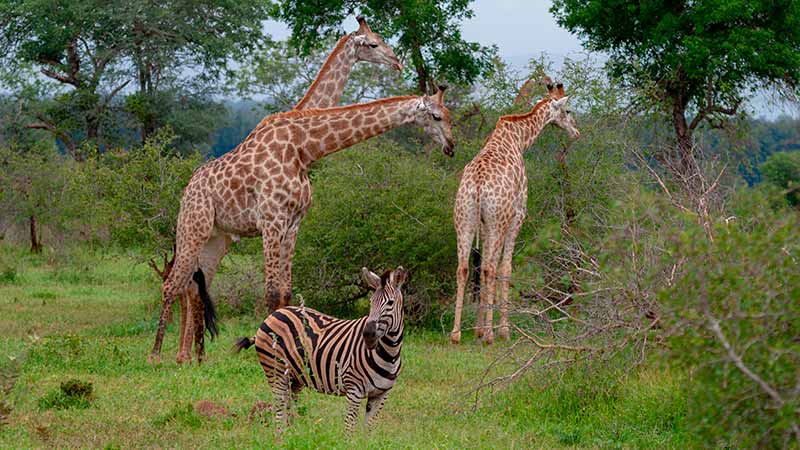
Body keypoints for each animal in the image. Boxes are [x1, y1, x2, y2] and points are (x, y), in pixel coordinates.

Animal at [148, 88, 450, 362]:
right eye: (436, 116)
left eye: (449, 116)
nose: (451, 145)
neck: (302, 147)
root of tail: (188, 188)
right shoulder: (271, 220)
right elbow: (271, 292)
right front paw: (266, 347)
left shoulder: (292, 224)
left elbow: (286, 291)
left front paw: (290, 347)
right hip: (192, 228)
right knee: (172, 285)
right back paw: (156, 354)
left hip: (215, 239)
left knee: (196, 288)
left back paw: (198, 357)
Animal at [233, 266, 406, 430]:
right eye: (371, 301)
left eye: (390, 303)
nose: (368, 335)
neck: (389, 354)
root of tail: (274, 313)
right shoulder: (354, 390)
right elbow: (349, 428)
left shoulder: (381, 395)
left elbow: (367, 431)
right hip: (275, 371)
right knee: (279, 412)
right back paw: (281, 436)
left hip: (295, 377)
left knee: (288, 409)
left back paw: (292, 436)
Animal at [450, 80, 580, 344]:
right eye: (568, 110)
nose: (577, 132)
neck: (520, 139)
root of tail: (477, 185)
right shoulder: (518, 215)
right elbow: (505, 268)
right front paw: (501, 330)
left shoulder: (483, 224)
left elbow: (481, 268)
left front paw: (478, 329)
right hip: (498, 221)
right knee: (490, 268)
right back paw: (492, 335)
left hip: (464, 219)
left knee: (464, 268)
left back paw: (456, 333)